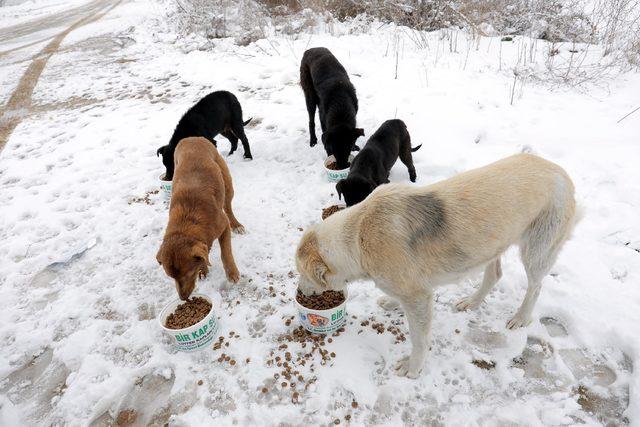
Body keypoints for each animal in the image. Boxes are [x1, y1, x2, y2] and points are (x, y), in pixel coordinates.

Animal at [156, 137, 244, 300]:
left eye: (189, 274)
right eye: (172, 277)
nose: (183, 298)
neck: (186, 223)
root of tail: (191, 138)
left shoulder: (223, 226)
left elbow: (225, 252)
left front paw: (232, 273)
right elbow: (204, 256)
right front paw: (203, 269)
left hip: (227, 181)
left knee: (228, 207)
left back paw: (236, 224)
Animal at [298, 154, 576, 378]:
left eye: (302, 274)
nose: (300, 293)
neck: (357, 237)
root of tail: (560, 170)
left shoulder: (418, 298)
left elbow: (419, 340)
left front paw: (413, 367)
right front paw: (391, 303)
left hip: (536, 252)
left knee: (536, 287)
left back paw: (520, 317)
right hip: (491, 246)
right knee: (495, 274)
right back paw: (472, 302)